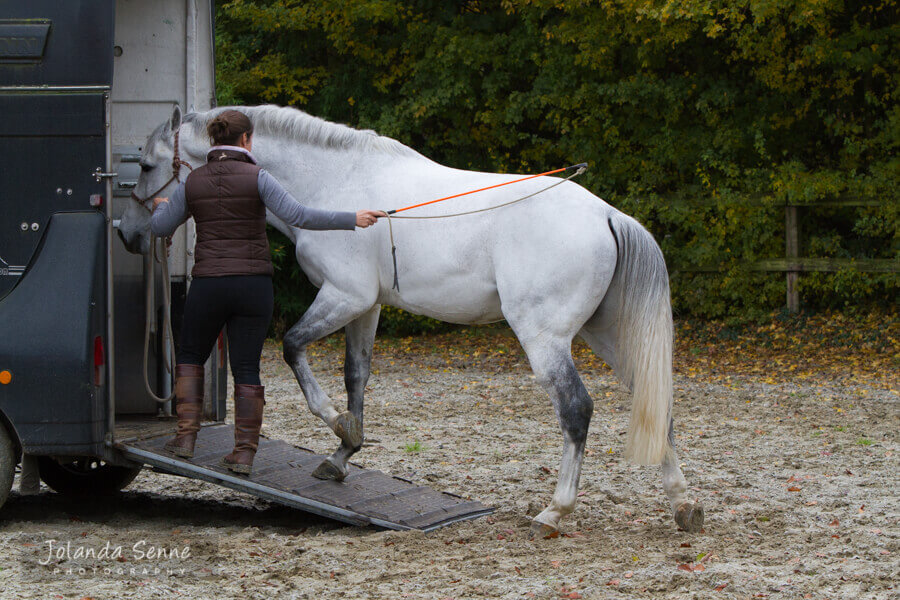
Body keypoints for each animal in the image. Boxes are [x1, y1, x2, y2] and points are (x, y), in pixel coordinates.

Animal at [118, 103, 704, 536]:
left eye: (145, 166)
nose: (128, 233)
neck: (336, 180)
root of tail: (607, 214)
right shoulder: (366, 306)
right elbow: (356, 376)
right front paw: (343, 453)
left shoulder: (343, 295)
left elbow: (293, 348)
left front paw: (337, 425)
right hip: (606, 336)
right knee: (656, 404)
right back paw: (683, 506)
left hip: (546, 339)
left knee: (577, 410)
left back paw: (555, 512)